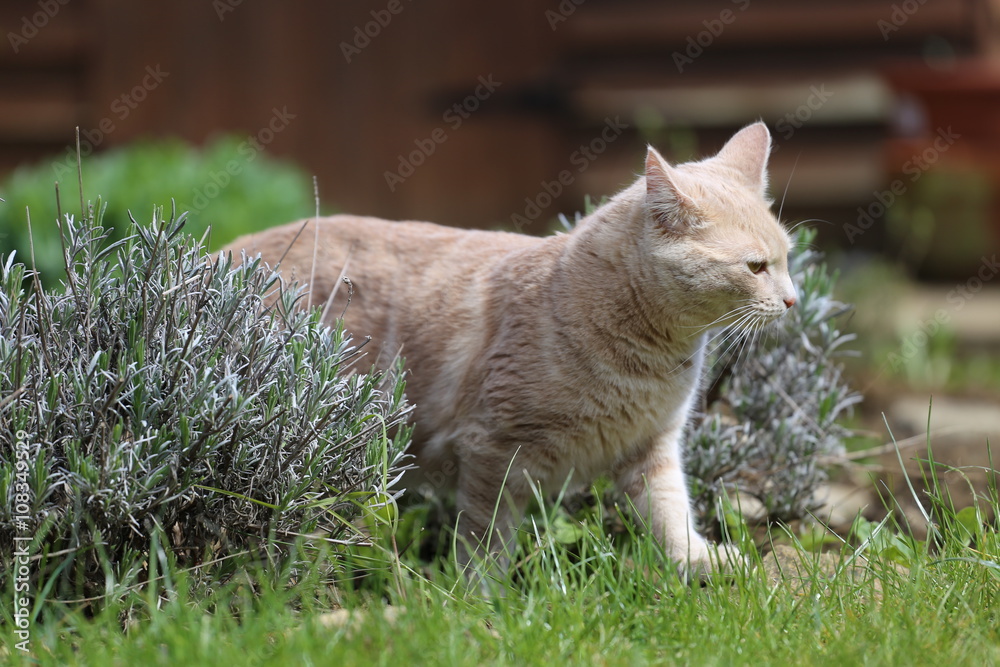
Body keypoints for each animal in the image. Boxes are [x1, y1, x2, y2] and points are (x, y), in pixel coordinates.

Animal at [225, 122, 796, 576]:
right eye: (755, 267)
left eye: (787, 258)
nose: (793, 299)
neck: (646, 361)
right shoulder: (493, 454)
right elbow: (485, 543)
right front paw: (478, 601)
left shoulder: (652, 447)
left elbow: (670, 514)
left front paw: (698, 562)